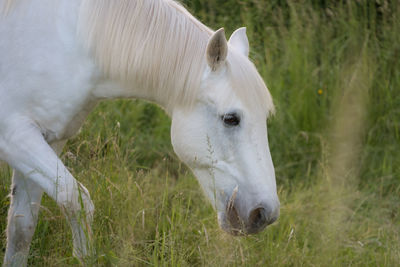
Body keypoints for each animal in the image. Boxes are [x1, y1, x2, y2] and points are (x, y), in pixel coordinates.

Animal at [0, 0, 280, 264]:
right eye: (231, 119)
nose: (265, 213)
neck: (67, 38)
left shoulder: (47, 139)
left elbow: (21, 228)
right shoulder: (15, 136)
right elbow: (75, 200)